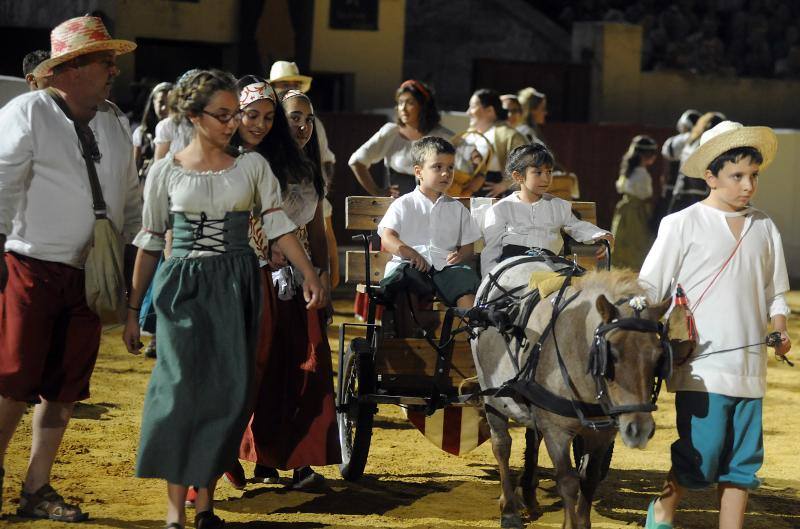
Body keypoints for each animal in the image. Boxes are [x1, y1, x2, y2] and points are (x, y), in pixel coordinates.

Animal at [472, 258, 680, 528]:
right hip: (492, 396)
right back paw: (509, 509)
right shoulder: (557, 430)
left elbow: (589, 478)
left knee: (532, 439)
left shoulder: (604, 433)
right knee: (502, 446)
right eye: (611, 355)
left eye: (658, 356)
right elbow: (568, 481)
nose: (639, 428)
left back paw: (529, 495)